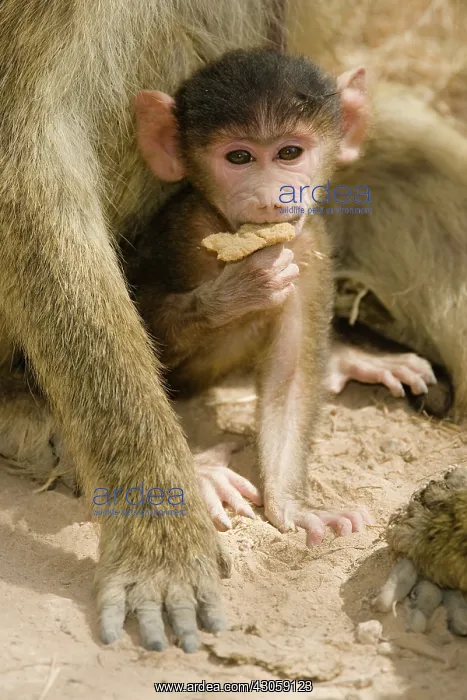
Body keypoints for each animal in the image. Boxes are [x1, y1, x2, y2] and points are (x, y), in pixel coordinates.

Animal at [123, 48, 374, 542]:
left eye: (289, 152)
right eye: (239, 157)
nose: (271, 198)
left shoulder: (309, 248)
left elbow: (290, 373)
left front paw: (295, 507)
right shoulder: (182, 230)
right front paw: (237, 291)